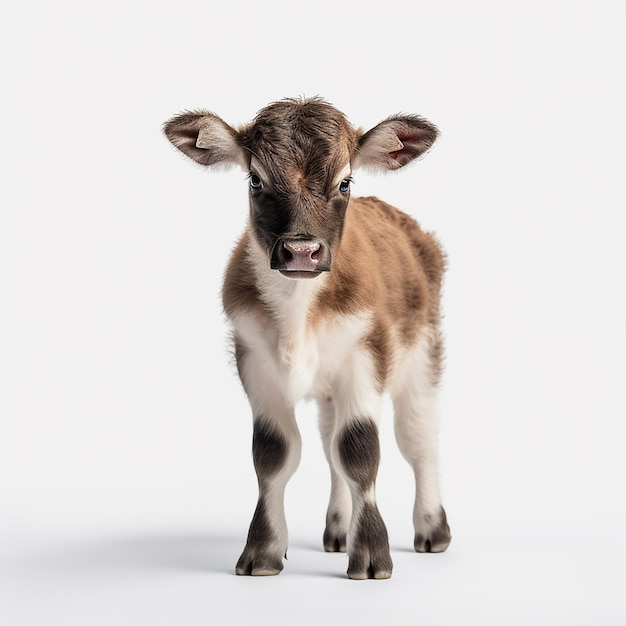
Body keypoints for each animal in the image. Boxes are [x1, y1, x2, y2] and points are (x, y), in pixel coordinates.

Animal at [163, 95, 450, 576]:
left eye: (344, 182)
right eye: (255, 180)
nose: (301, 251)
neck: (298, 310)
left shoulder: (365, 354)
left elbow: (360, 449)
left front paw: (371, 555)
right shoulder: (253, 359)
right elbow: (275, 453)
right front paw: (262, 551)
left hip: (424, 352)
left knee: (419, 439)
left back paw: (432, 529)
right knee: (330, 443)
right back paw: (338, 530)